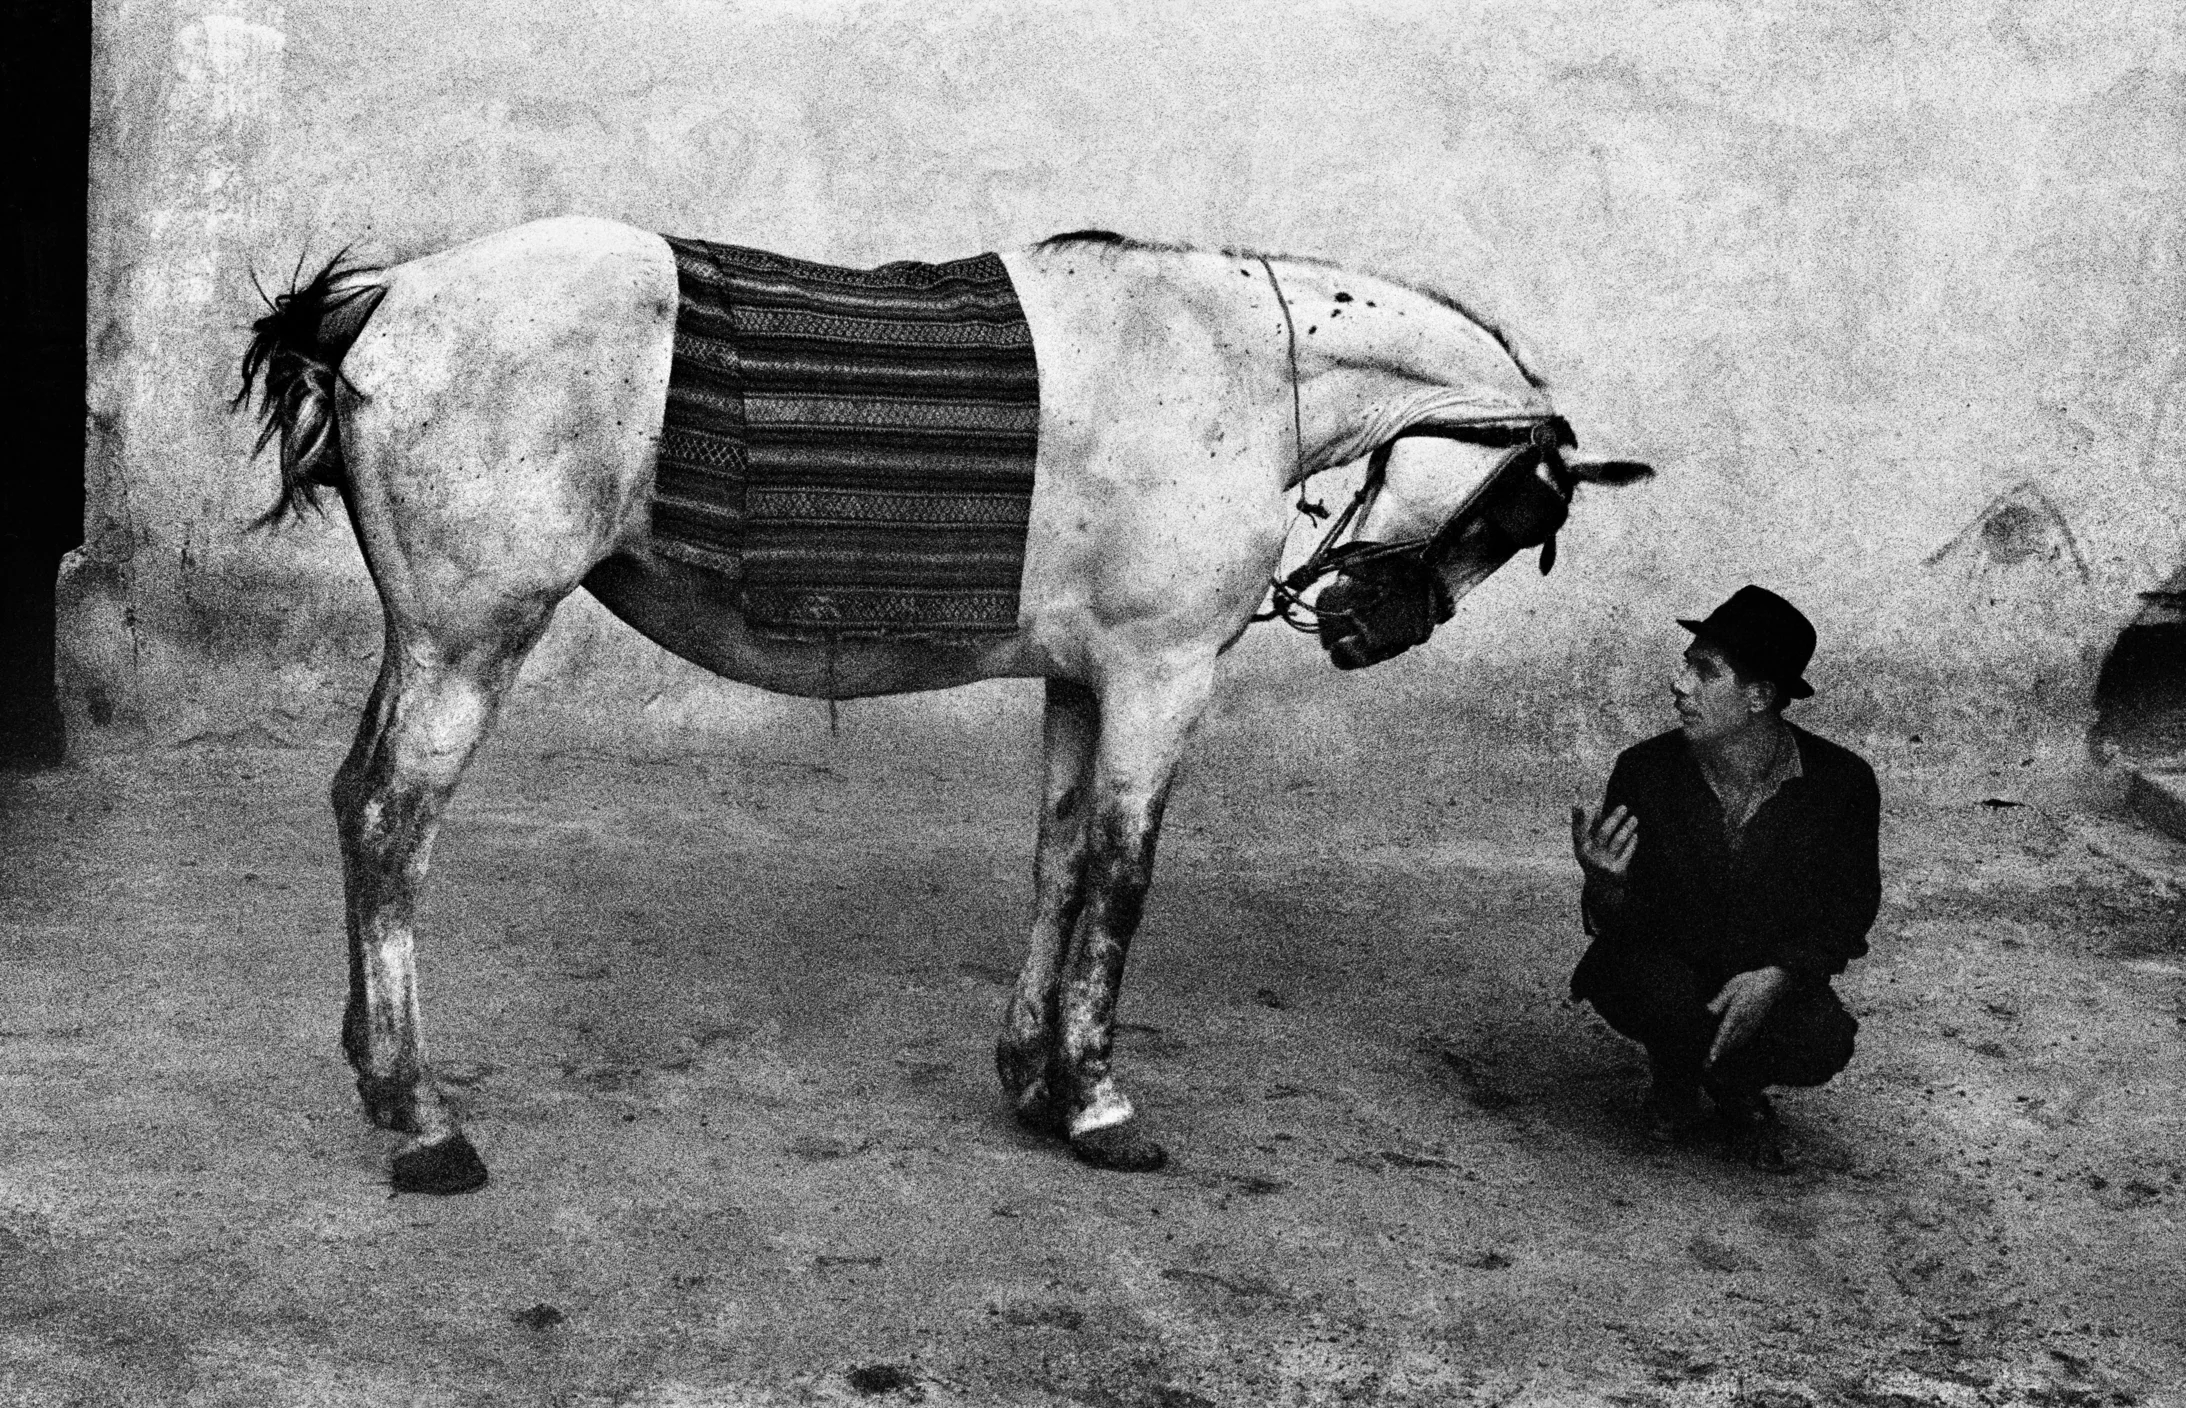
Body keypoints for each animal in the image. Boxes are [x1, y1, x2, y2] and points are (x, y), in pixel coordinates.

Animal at [230, 217, 1643, 1189]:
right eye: (1517, 512)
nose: (1365, 628)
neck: (1229, 363)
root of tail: (393, 296)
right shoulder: (1158, 675)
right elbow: (1122, 878)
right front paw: (1097, 1102)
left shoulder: (1081, 677)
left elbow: (1059, 863)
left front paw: (1032, 1079)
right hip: (470, 640)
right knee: (394, 828)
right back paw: (424, 1119)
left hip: (422, 639)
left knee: (355, 802)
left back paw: (378, 1074)